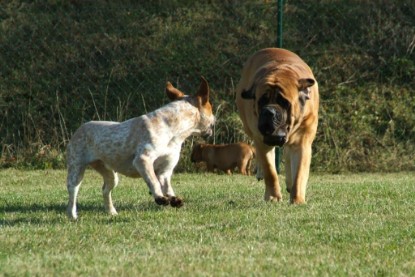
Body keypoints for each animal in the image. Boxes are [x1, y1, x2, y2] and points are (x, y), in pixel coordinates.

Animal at [66, 76, 216, 219]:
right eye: (211, 108)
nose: (215, 119)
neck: (173, 130)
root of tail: (80, 128)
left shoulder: (165, 170)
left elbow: (167, 186)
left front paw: (173, 198)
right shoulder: (143, 160)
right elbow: (153, 181)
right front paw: (160, 197)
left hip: (111, 175)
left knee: (105, 190)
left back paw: (112, 212)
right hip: (76, 170)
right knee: (73, 194)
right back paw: (72, 216)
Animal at [236, 47, 320, 203]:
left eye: (284, 102)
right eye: (262, 101)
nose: (269, 111)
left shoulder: (302, 141)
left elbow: (299, 173)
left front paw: (297, 199)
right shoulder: (262, 139)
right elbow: (270, 171)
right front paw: (273, 197)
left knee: (287, 154)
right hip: (250, 128)